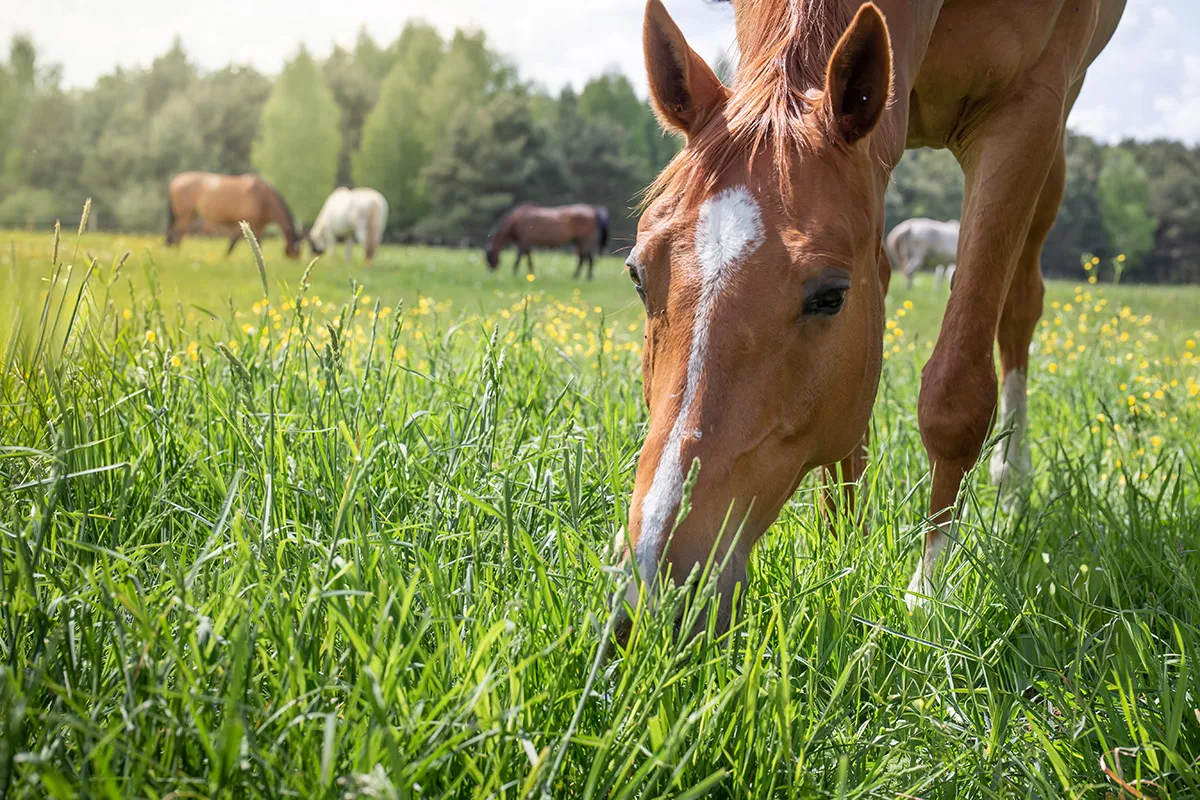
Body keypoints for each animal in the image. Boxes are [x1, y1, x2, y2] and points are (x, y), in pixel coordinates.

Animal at [166, 172, 303, 259]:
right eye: (296, 249)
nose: (296, 258)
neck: (264, 198)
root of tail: (176, 180)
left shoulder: (259, 226)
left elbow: (258, 242)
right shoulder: (246, 221)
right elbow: (234, 241)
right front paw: (226, 256)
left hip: (190, 214)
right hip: (185, 214)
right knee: (178, 231)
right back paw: (177, 253)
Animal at [617, 0, 1124, 640]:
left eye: (830, 298)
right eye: (638, 275)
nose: (653, 586)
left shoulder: (1029, 111)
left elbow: (956, 395)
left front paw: (928, 591)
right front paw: (842, 547)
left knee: (1019, 308)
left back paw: (1011, 479)